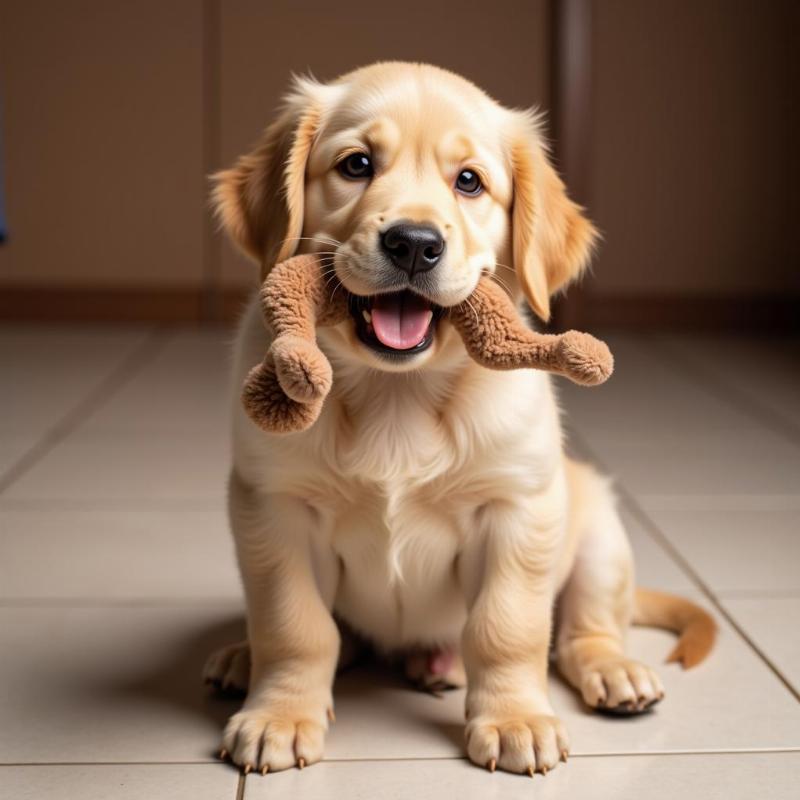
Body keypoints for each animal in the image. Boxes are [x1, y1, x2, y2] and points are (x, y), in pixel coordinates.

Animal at [205, 61, 712, 776]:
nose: (414, 244)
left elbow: (507, 627)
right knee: (339, 637)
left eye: (469, 181)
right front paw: (279, 714)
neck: (398, 392)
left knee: (583, 629)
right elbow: (295, 626)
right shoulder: (273, 507)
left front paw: (514, 719)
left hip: (599, 534)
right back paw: (244, 658)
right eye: (357, 165)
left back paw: (607, 671)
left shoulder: (517, 508)